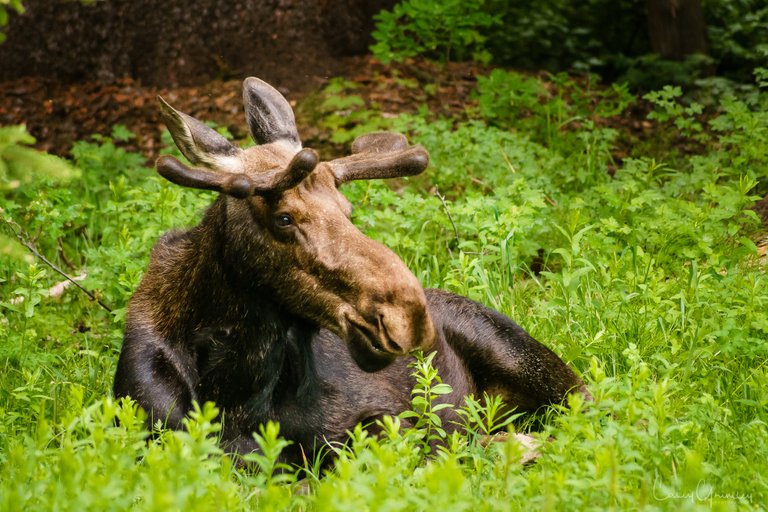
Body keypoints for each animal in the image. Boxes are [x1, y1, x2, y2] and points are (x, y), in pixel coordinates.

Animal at [114, 77, 592, 464]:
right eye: (284, 218)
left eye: (346, 210)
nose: (408, 316)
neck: (234, 386)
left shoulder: (383, 418)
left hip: (523, 357)